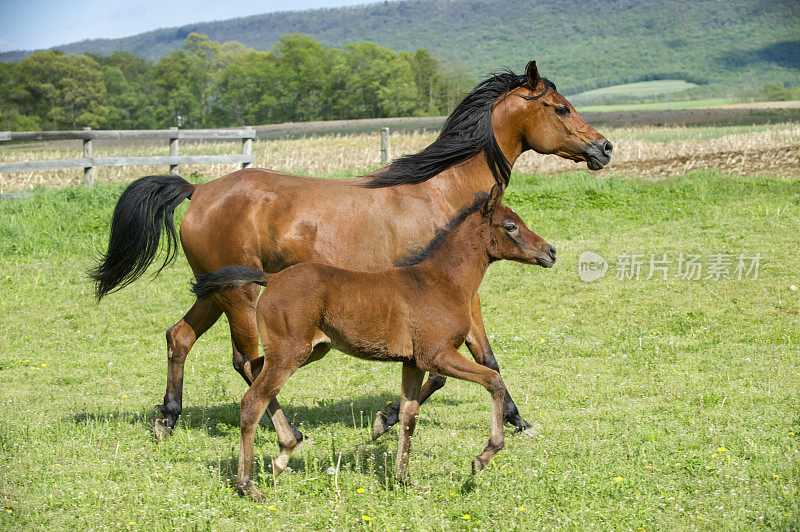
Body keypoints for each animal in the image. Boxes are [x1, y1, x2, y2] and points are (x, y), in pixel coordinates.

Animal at [193, 191, 556, 498]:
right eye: (510, 226)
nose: (550, 251)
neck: (441, 281)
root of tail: (272, 278)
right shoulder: (436, 355)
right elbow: (493, 380)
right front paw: (483, 456)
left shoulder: (412, 362)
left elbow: (409, 414)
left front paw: (402, 478)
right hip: (290, 353)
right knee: (252, 400)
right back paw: (247, 485)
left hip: (308, 350)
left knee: (253, 368)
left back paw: (284, 452)